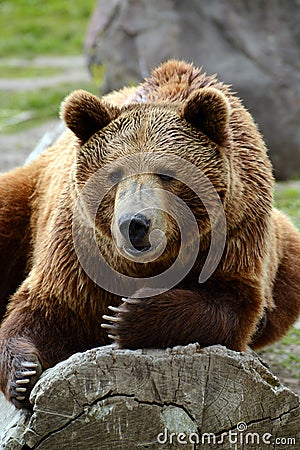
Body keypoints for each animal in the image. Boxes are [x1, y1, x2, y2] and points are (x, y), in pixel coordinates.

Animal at [0, 60, 300, 412]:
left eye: (168, 173)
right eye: (114, 174)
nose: (134, 223)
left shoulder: (237, 231)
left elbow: (233, 304)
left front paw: (126, 315)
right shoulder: (77, 244)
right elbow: (48, 305)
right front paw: (23, 373)